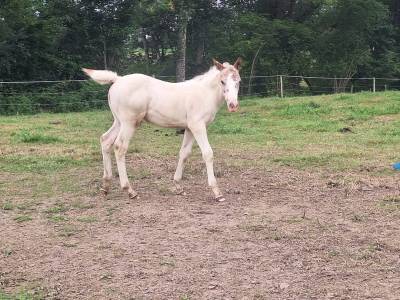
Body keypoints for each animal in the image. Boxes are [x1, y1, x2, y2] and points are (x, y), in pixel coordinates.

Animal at [83, 56, 242, 202]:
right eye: (222, 81)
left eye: (238, 81)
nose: (233, 105)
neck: (204, 93)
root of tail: (118, 79)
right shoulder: (198, 126)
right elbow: (208, 153)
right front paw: (217, 192)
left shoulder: (189, 128)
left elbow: (184, 153)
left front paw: (178, 186)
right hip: (129, 123)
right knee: (119, 147)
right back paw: (129, 190)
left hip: (119, 121)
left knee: (105, 140)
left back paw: (105, 186)